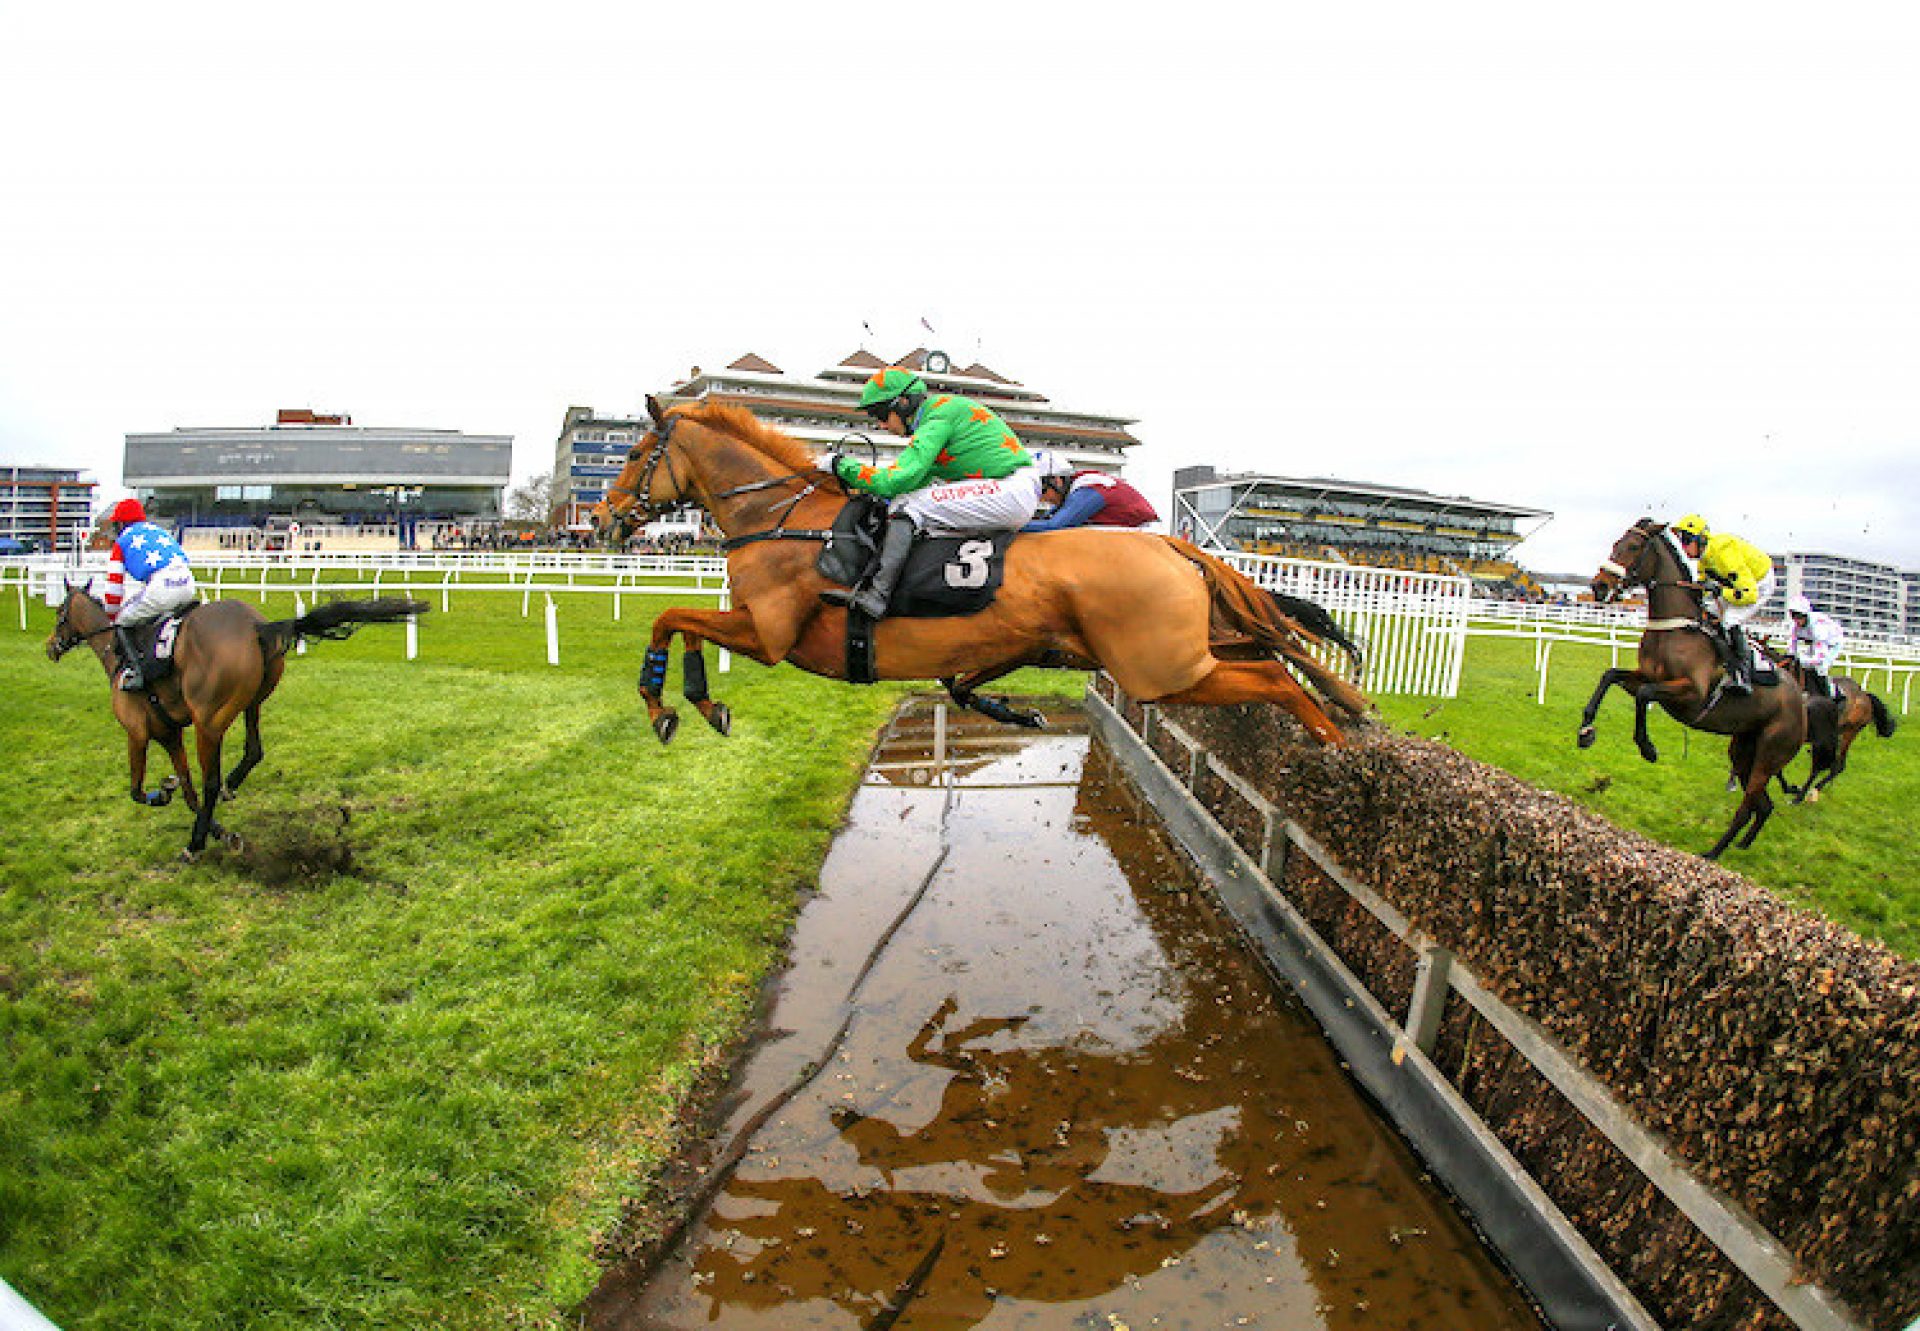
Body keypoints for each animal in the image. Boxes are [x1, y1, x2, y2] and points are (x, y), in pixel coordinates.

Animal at [48, 583, 428, 856]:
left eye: (60, 614)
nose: (51, 646)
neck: (115, 653)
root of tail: (258, 626)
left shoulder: (137, 732)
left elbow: (138, 791)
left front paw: (172, 801)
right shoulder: (170, 734)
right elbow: (187, 790)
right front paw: (216, 828)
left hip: (208, 721)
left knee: (211, 780)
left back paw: (195, 843)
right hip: (252, 701)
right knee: (253, 750)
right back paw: (230, 788)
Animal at [583, 393, 1367, 749]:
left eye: (633, 454)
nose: (601, 520)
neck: (785, 517)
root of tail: (1177, 546)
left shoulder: (772, 632)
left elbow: (669, 615)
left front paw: (663, 703)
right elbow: (684, 624)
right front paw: (699, 700)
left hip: (1160, 670)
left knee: (1273, 678)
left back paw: (1330, 740)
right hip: (1170, 651)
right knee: (1271, 657)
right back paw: (1338, 716)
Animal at [1574, 514, 1797, 856]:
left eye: (1634, 546)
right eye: (1615, 543)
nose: (1599, 586)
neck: (1676, 628)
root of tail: (1803, 699)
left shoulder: (1691, 694)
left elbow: (1644, 695)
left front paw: (1647, 747)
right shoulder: (1646, 676)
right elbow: (1610, 676)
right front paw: (1586, 730)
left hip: (1770, 755)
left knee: (1747, 807)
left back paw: (1713, 853)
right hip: (1745, 750)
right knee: (1763, 805)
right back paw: (1741, 844)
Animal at [1774, 653, 1896, 798]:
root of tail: (1865, 696)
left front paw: (1792, 789)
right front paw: (1788, 788)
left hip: (1850, 731)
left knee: (1838, 765)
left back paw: (1812, 791)